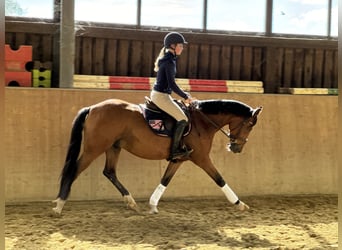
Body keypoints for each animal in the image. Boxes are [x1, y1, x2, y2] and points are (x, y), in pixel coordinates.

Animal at [52, 98, 262, 214]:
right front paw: (240, 204)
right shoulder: (202, 158)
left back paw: (131, 202)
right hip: (94, 148)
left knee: (109, 172)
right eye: (250, 124)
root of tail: (93, 108)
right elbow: (219, 179)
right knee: (75, 170)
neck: (202, 122)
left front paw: (153, 205)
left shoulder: (178, 159)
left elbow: (165, 180)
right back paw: (59, 204)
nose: (236, 148)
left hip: (113, 147)